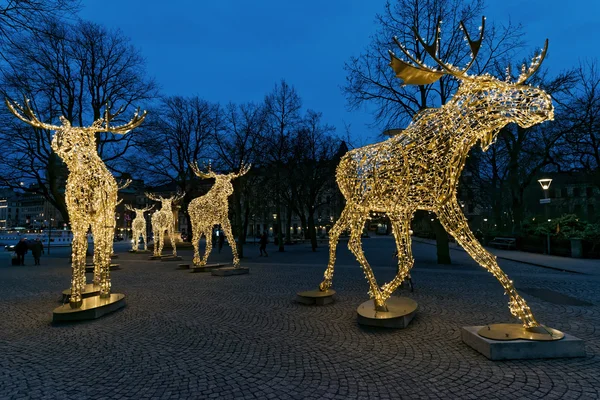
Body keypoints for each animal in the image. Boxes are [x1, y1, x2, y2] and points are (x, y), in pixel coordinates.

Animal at [6, 97, 146, 310]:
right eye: (66, 134)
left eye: (86, 137)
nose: (63, 144)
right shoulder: (76, 218)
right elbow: (78, 251)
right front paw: (76, 295)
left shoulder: (102, 217)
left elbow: (101, 249)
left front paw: (103, 292)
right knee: (95, 248)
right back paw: (94, 283)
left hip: (107, 217)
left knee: (104, 246)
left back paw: (103, 286)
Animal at [318, 18, 552, 330]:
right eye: (486, 86)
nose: (541, 101)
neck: (454, 143)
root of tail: (340, 165)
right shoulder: (423, 205)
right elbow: (424, 258)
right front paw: (380, 295)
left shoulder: (422, 206)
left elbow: (475, 256)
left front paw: (527, 316)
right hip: (360, 203)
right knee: (353, 241)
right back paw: (373, 296)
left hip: (354, 205)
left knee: (334, 232)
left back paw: (326, 283)